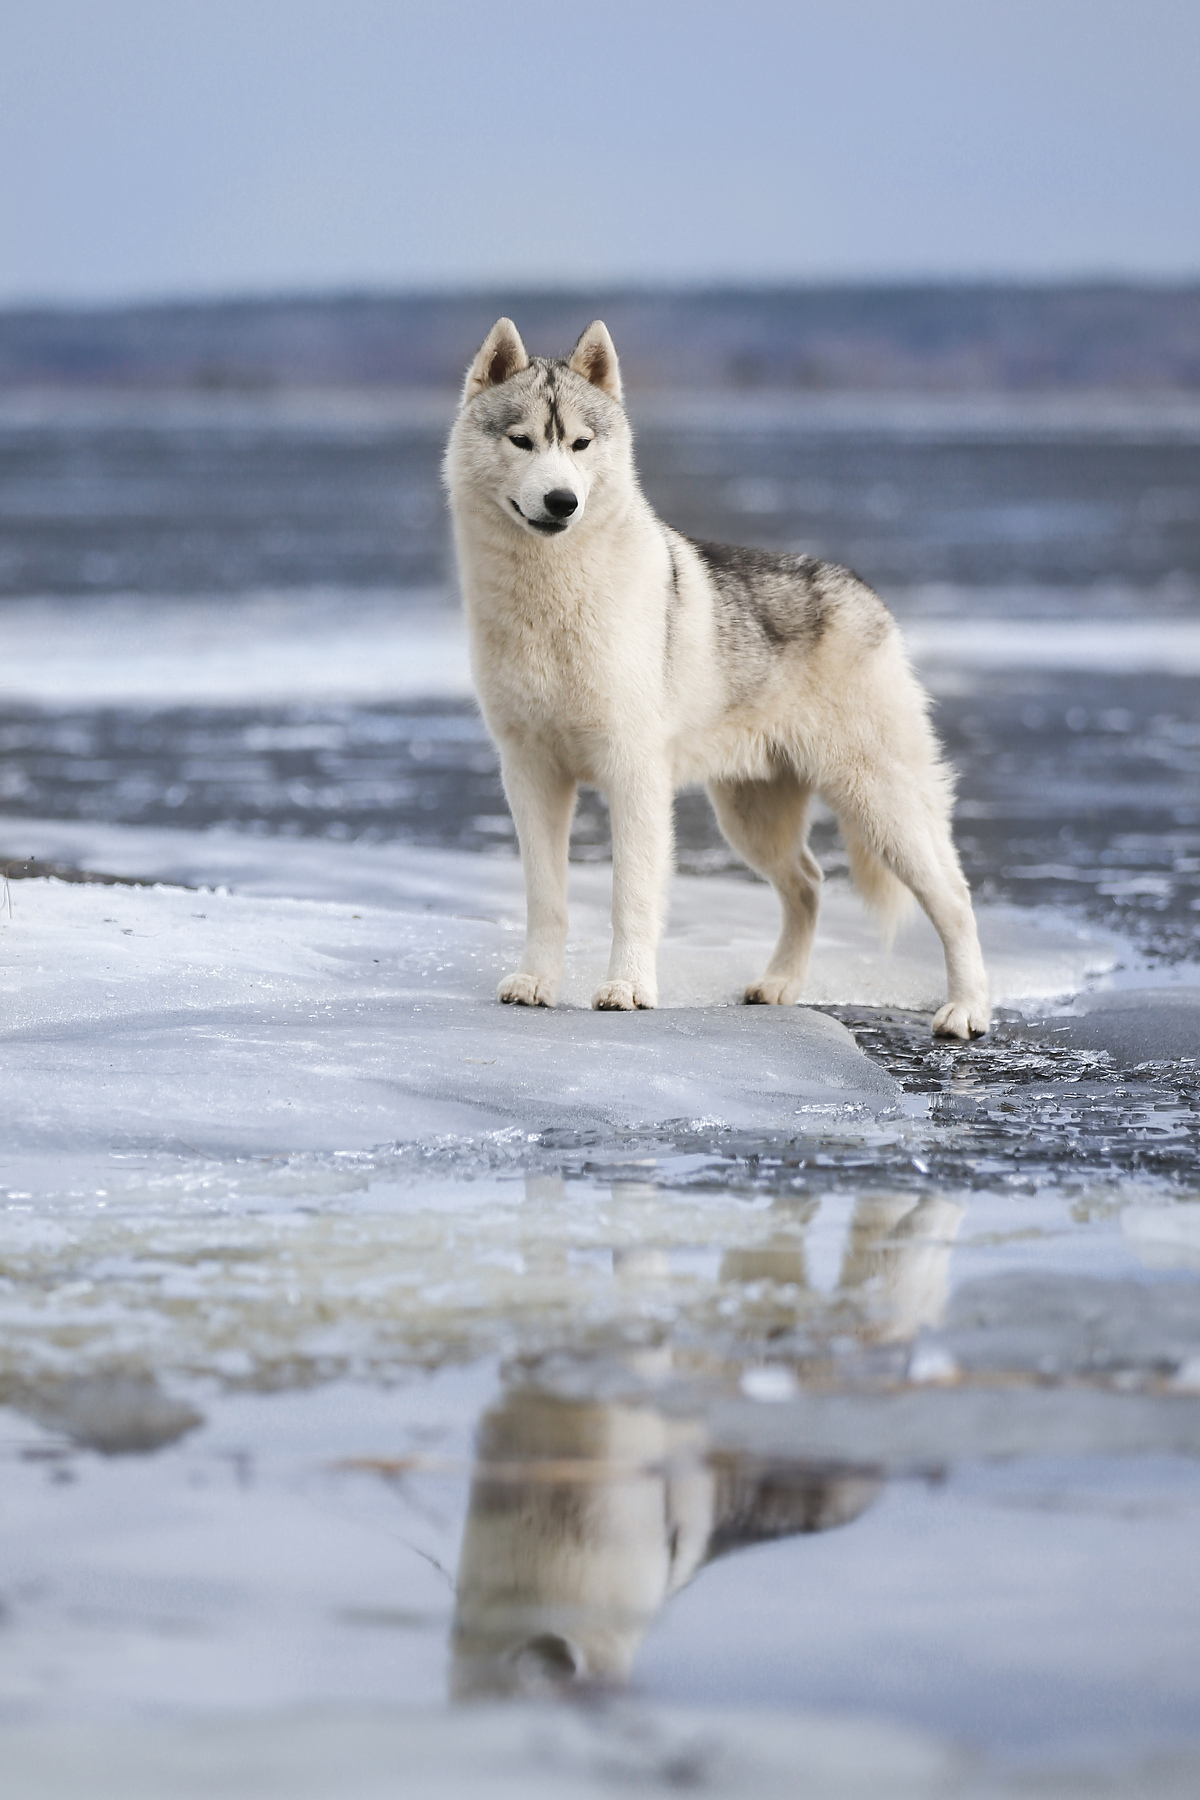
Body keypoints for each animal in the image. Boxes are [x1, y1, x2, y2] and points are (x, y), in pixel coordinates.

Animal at [446, 316, 993, 1036]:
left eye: (581, 443)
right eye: (523, 440)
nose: (561, 501)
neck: (551, 602)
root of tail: (864, 591)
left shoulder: (633, 776)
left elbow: (631, 897)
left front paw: (628, 990)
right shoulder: (531, 774)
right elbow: (548, 899)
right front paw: (536, 983)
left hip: (877, 802)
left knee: (953, 896)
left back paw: (967, 1009)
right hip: (751, 817)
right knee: (810, 883)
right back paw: (780, 985)